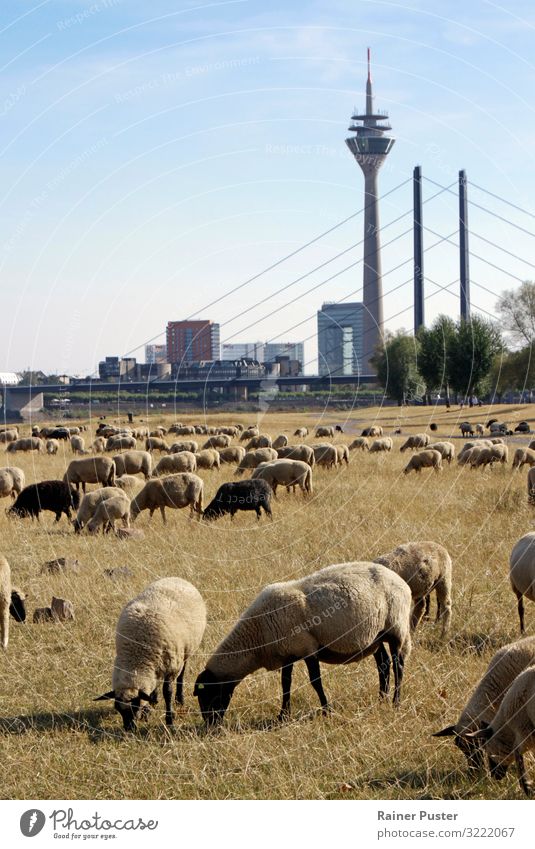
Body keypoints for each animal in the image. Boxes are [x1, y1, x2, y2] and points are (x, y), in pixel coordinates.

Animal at [94, 576, 207, 728]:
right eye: (117, 708)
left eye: (135, 706)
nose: (129, 728)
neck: (136, 657)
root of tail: (177, 578)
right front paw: (149, 707)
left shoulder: (171, 667)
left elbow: (167, 692)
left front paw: (169, 719)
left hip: (185, 652)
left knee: (182, 674)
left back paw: (179, 699)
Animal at [195, 560, 412, 724]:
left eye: (208, 695)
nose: (211, 726)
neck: (257, 633)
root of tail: (401, 581)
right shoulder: (287, 653)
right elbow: (285, 684)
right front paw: (283, 715)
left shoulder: (308, 648)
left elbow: (315, 681)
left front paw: (326, 710)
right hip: (375, 636)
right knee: (383, 664)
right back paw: (381, 699)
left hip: (396, 627)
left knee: (398, 665)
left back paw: (396, 702)